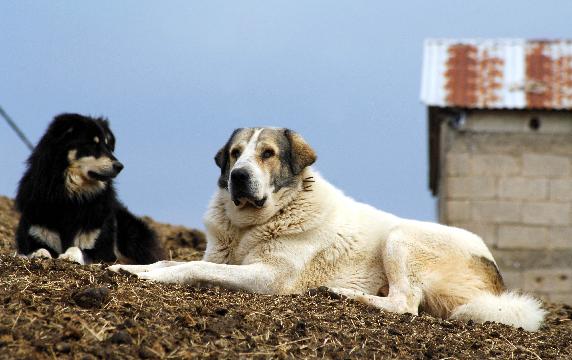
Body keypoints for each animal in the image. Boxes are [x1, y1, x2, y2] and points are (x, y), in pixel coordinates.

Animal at [14, 114, 165, 264]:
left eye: (108, 146)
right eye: (92, 144)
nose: (120, 166)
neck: (70, 196)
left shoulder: (102, 250)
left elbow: (76, 248)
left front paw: (68, 256)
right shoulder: (35, 234)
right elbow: (39, 248)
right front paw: (39, 254)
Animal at [110, 127, 544, 332]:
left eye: (267, 154)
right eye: (235, 154)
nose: (238, 176)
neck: (251, 224)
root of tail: (496, 279)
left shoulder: (269, 277)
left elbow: (193, 268)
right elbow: (168, 261)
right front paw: (127, 269)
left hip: (400, 237)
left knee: (405, 304)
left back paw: (340, 293)